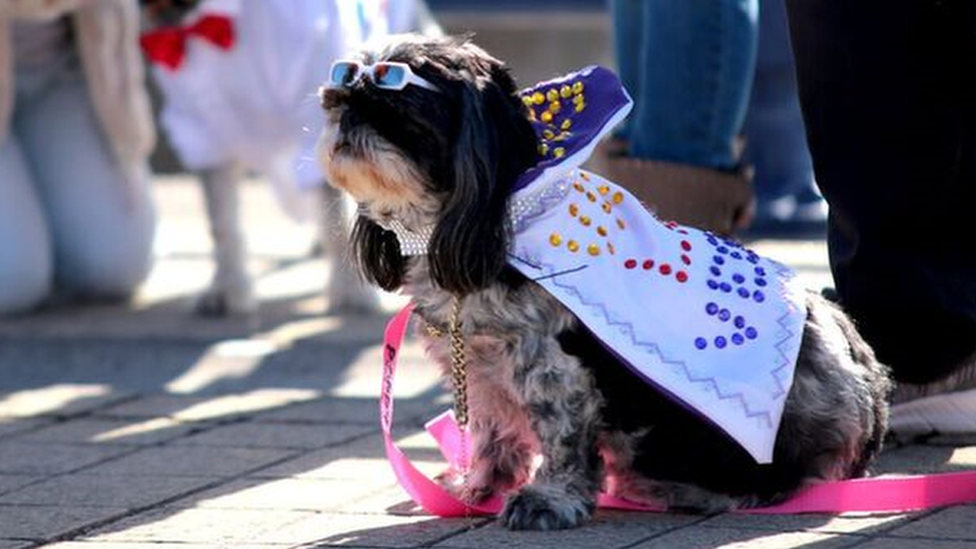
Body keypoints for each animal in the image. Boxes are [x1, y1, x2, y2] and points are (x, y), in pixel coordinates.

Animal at [318, 35, 892, 532]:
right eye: (340, 101)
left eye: (396, 111)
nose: (347, 118)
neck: (491, 214)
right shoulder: (482, 367)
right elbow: (493, 433)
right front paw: (476, 487)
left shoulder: (553, 368)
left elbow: (562, 438)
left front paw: (547, 499)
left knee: (781, 481)